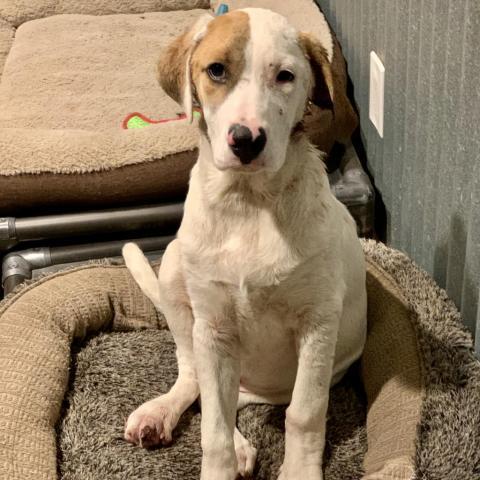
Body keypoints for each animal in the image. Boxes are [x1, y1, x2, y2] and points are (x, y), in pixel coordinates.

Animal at [124, 7, 368, 480]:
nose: (246, 139)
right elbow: (213, 431)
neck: (250, 203)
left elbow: (304, 412)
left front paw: (299, 471)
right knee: (196, 382)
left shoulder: (318, 322)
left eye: (286, 76)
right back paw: (163, 414)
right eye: (217, 70)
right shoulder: (214, 328)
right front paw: (219, 464)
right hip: (176, 276)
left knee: (229, 397)